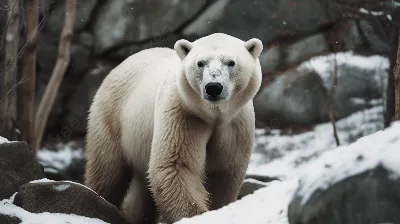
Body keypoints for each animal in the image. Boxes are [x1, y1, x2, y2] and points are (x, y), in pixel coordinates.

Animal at [84, 32, 262, 223]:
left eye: (231, 62)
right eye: (200, 63)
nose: (213, 87)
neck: (214, 115)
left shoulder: (235, 125)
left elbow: (224, 172)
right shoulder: (183, 112)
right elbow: (176, 165)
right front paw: (196, 215)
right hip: (112, 115)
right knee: (107, 170)